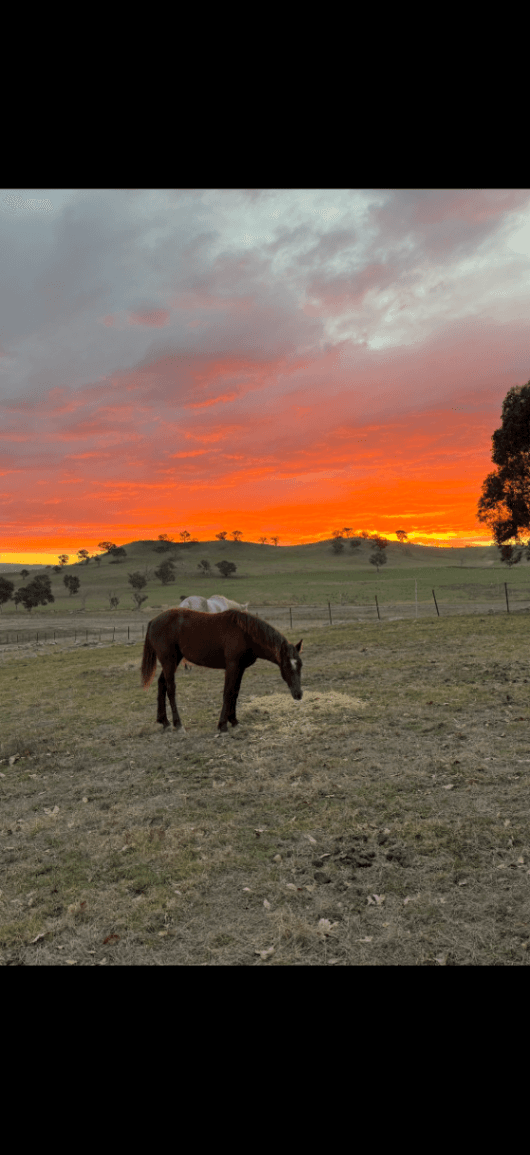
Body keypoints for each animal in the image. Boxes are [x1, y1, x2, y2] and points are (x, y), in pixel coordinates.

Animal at [141, 608, 303, 735]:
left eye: (300, 665)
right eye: (287, 666)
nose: (299, 694)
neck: (244, 633)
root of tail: (153, 621)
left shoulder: (240, 668)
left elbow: (235, 692)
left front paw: (234, 721)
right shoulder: (232, 666)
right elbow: (228, 692)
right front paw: (223, 725)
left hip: (173, 661)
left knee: (161, 683)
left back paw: (164, 722)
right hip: (169, 661)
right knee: (170, 689)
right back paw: (178, 725)